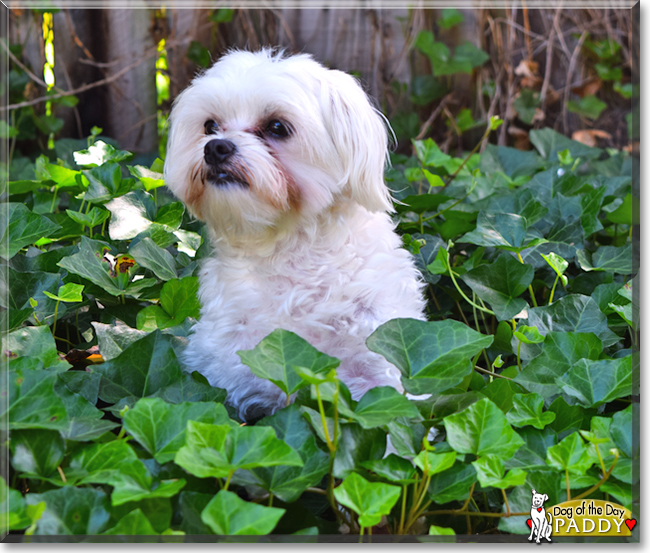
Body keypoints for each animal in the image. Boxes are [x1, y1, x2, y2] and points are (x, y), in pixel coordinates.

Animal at [165, 49, 422, 420]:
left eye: (277, 127)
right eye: (209, 126)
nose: (215, 147)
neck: (286, 250)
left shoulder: (381, 362)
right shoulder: (221, 374)